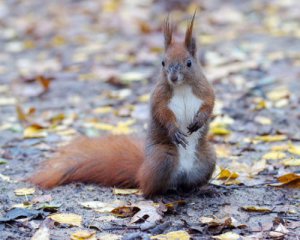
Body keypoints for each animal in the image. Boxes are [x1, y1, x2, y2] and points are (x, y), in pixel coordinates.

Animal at [28, 13, 216, 197]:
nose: (173, 78)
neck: (182, 87)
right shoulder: (159, 97)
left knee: (187, 185)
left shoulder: (205, 91)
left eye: (189, 63)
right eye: (163, 62)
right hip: (162, 160)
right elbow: (162, 113)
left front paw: (199, 120)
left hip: (208, 159)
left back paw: (201, 189)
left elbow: (209, 104)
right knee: (147, 188)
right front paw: (174, 130)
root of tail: (141, 169)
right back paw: (160, 194)